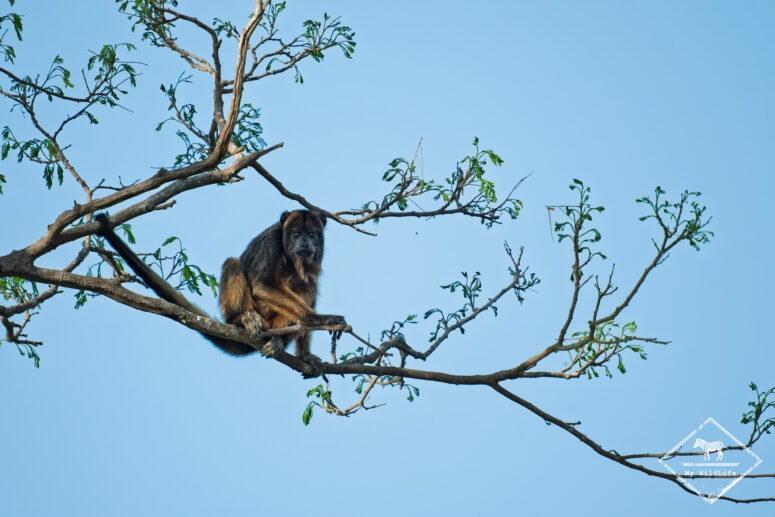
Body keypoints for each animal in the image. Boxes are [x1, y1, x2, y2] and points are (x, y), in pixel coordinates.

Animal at [219, 209, 345, 359]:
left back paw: (279, 340)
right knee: (232, 263)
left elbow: (311, 290)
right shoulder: (270, 241)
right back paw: (240, 318)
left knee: (308, 289)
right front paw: (320, 319)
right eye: (296, 234)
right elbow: (262, 284)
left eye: (311, 235)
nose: (304, 244)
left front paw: (304, 354)